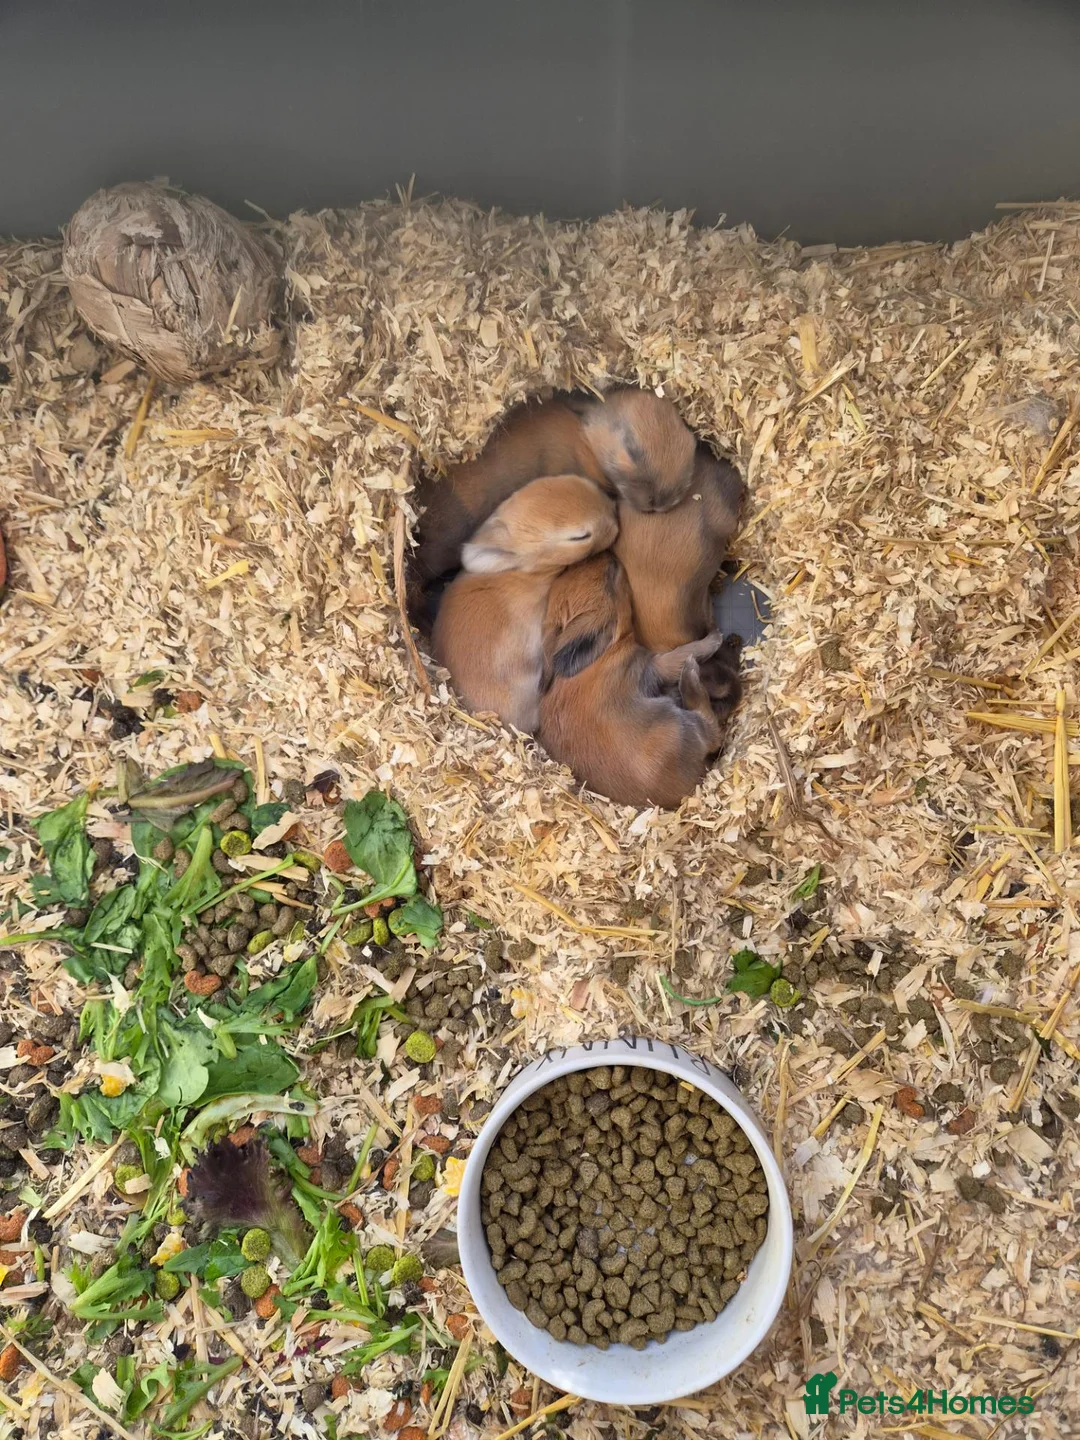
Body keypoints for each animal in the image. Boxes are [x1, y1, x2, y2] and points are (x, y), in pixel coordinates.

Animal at [537, 551, 727, 809]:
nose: (606, 553)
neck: (602, 653)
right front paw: (713, 639)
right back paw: (690, 678)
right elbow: (681, 655)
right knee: (712, 730)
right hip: (684, 726)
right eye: (611, 575)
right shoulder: (649, 665)